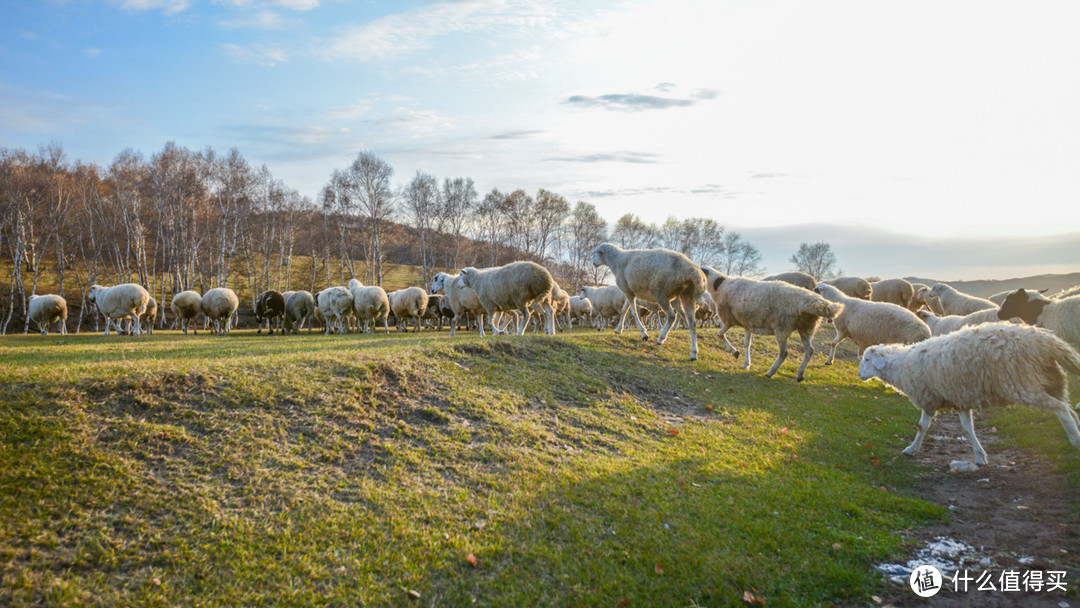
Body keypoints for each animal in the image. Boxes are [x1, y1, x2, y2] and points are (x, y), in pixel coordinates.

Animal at [704, 269, 846, 382]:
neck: (720, 286)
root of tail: (814, 303)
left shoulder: (728, 320)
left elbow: (720, 334)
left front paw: (734, 352)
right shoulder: (747, 323)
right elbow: (747, 344)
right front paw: (746, 363)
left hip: (782, 327)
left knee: (784, 353)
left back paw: (770, 372)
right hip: (806, 327)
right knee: (810, 350)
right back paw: (800, 374)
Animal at [859, 323, 1080, 466]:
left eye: (867, 359)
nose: (860, 375)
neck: (902, 364)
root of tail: (1045, 341)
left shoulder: (929, 398)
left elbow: (922, 427)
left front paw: (912, 449)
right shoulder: (959, 399)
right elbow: (967, 428)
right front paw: (980, 456)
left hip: (1023, 383)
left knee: (1061, 409)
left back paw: (1075, 439)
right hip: (1053, 380)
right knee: (1070, 409)